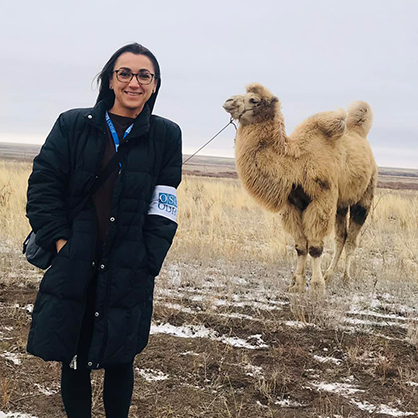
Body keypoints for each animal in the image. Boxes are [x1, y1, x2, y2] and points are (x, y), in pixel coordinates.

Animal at [224, 83, 378, 294]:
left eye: (253, 100)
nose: (228, 101)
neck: (296, 163)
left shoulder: (321, 200)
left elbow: (315, 247)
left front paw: (316, 285)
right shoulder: (293, 204)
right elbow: (300, 246)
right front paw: (296, 283)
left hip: (364, 196)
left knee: (352, 239)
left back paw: (346, 279)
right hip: (340, 204)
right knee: (341, 237)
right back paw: (330, 275)